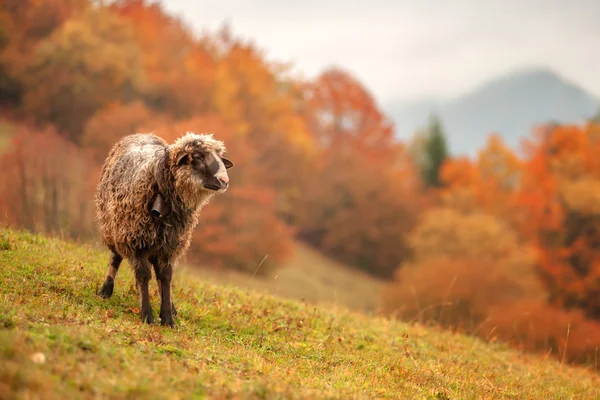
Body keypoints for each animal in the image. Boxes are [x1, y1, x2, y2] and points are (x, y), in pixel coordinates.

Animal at [95, 133, 233, 326]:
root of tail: (141, 134)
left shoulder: (170, 246)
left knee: (158, 272)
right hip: (115, 228)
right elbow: (143, 275)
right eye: (197, 157)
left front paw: (167, 317)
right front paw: (147, 315)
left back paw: (171, 307)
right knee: (116, 258)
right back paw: (106, 291)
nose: (224, 181)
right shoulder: (135, 240)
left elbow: (166, 276)